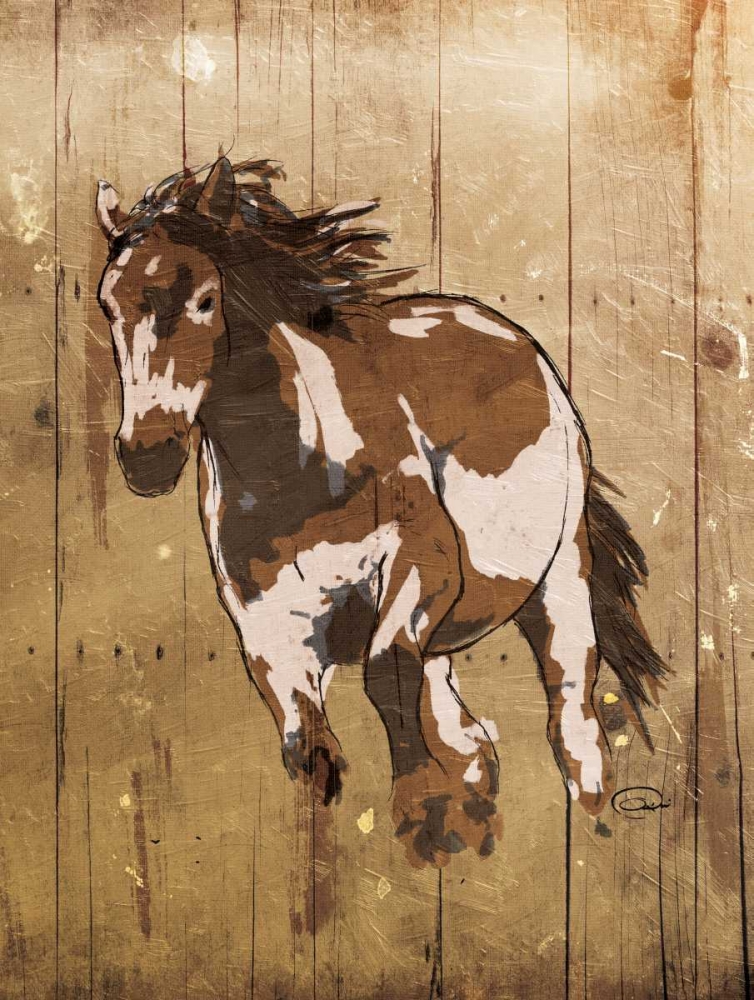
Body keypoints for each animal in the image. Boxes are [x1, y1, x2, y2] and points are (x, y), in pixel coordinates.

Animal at [95, 156, 666, 868]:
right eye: (108, 305)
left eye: (204, 299)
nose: (147, 456)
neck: (298, 474)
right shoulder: (269, 634)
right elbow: (310, 749)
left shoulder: (425, 562)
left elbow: (386, 672)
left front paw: (421, 813)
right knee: (463, 724)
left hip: (559, 582)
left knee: (573, 722)